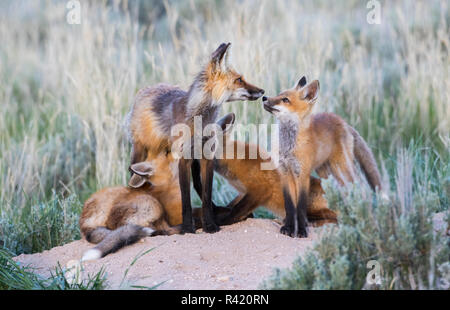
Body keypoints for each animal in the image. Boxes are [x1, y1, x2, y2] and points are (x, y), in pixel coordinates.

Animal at [126, 42, 264, 234]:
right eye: (239, 80)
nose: (262, 91)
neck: (200, 122)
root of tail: (147, 89)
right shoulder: (182, 158)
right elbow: (185, 199)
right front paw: (187, 228)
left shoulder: (207, 156)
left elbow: (205, 195)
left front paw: (210, 225)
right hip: (139, 151)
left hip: (195, 161)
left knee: (199, 186)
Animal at [264, 76, 384, 239]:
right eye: (278, 94)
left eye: (285, 100)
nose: (264, 97)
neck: (288, 146)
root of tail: (344, 122)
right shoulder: (285, 172)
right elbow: (290, 205)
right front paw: (288, 228)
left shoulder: (303, 175)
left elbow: (300, 206)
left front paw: (301, 231)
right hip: (326, 173)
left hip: (342, 170)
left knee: (360, 187)